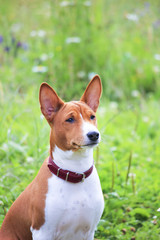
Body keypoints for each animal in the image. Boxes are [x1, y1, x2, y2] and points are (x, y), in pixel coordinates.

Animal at [0, 75, 104, 240]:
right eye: (70, 120)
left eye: (92, 117)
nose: (94, 134)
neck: (75, 171)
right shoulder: (42, 231)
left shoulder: (89, 232)